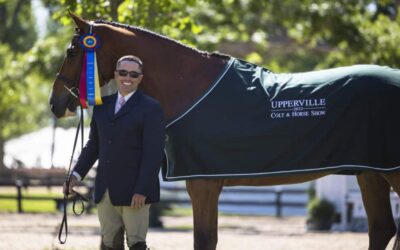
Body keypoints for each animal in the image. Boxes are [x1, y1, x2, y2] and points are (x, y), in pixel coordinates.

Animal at [49, 13, 400, 250]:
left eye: (72, 51)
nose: (56, 103)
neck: (192, 87)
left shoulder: (203, 184)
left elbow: (204, 240)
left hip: (389, 172)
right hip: (369, 172)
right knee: (382, 227)